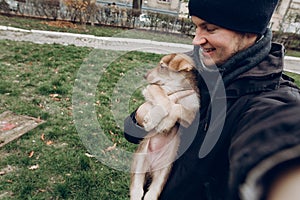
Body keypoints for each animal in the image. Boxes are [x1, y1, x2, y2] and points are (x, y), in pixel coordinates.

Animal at [130, 53, 200, 200]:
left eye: (162, 66)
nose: (145, 75)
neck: (177, 87)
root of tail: (151, 168)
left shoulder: (192, 114)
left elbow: (177, 107)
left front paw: (165, 122)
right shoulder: (152, 88)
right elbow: (165, 100)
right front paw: (153, 119)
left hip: (162, 175)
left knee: (150, 194)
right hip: (139, 163)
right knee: (137, 190)